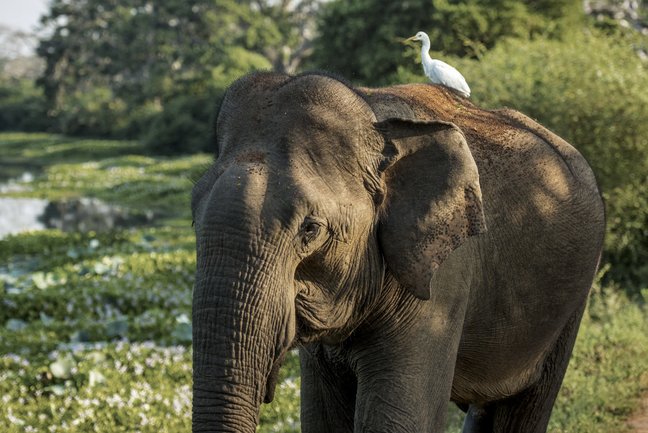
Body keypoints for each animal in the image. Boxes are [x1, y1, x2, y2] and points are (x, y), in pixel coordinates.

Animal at [190, 71, 604, 432]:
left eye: (311, 229)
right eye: (193, 217)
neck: (372, 113)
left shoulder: (444, 274)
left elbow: (398, 420)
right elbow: (324, 421)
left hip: (571, 302)